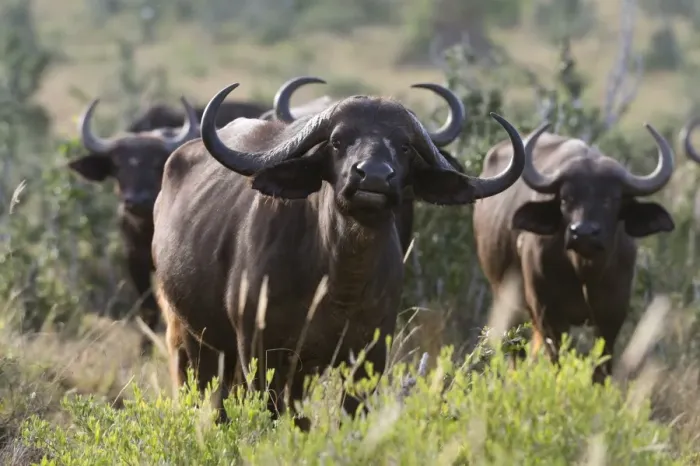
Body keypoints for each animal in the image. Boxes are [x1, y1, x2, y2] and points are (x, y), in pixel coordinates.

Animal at [67, 97, 200, 353]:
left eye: (158, 163)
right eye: (118, 166)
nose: (137, 200)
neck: (148, 231)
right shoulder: (133, 261)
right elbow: (147, 309)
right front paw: (144, 350)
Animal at [473, 123, 675, 381]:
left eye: (612, 198)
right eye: (566, 199)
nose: (584, 232)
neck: (584, 270)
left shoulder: (612, 314)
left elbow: (601, 367)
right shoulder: (549, 313)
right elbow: (557, 360)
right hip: (506, 300)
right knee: (515, 351)